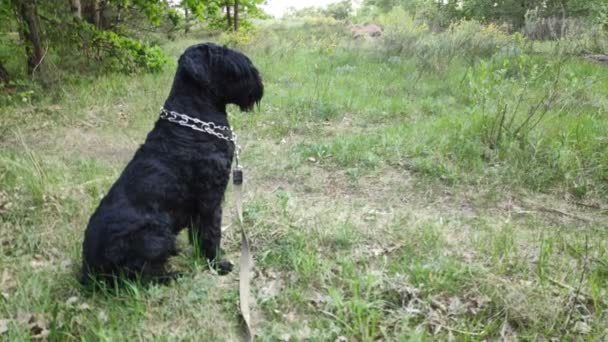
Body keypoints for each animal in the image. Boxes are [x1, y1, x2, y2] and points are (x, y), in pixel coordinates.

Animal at [80, 42, 264, 284]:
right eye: (224, 57)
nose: (259, 81)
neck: (194, 117)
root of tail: (88, 271)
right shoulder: (210, 197)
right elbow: (211, 232)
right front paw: (217, 263)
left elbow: (198, 233)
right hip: (156, 234)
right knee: (141, 275)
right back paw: (175, 275)